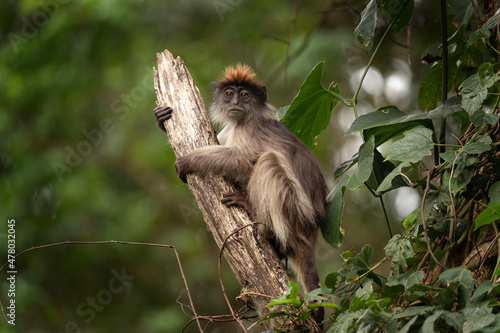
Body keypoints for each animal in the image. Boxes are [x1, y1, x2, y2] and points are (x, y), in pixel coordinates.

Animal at [156, 63, 328, 320]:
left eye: (245, 95)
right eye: (229, 94)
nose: (236, 101)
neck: (242, 120)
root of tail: (311, 230)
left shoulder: (251, 129)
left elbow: (243, 162)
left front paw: (189, 160)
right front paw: (160, 120)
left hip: (296, 212)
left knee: (267, 161)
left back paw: (261, 222)